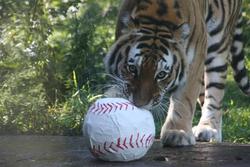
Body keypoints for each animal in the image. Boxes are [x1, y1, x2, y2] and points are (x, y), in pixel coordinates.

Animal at [104, 0, 250, 146]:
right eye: (132, 68)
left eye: (161, 74)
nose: (139, 104)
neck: (158, 19)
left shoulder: (194, 60)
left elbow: (184, 99)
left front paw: (178, 133)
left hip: (217, 44)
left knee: (214, 93)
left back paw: (208, 129)